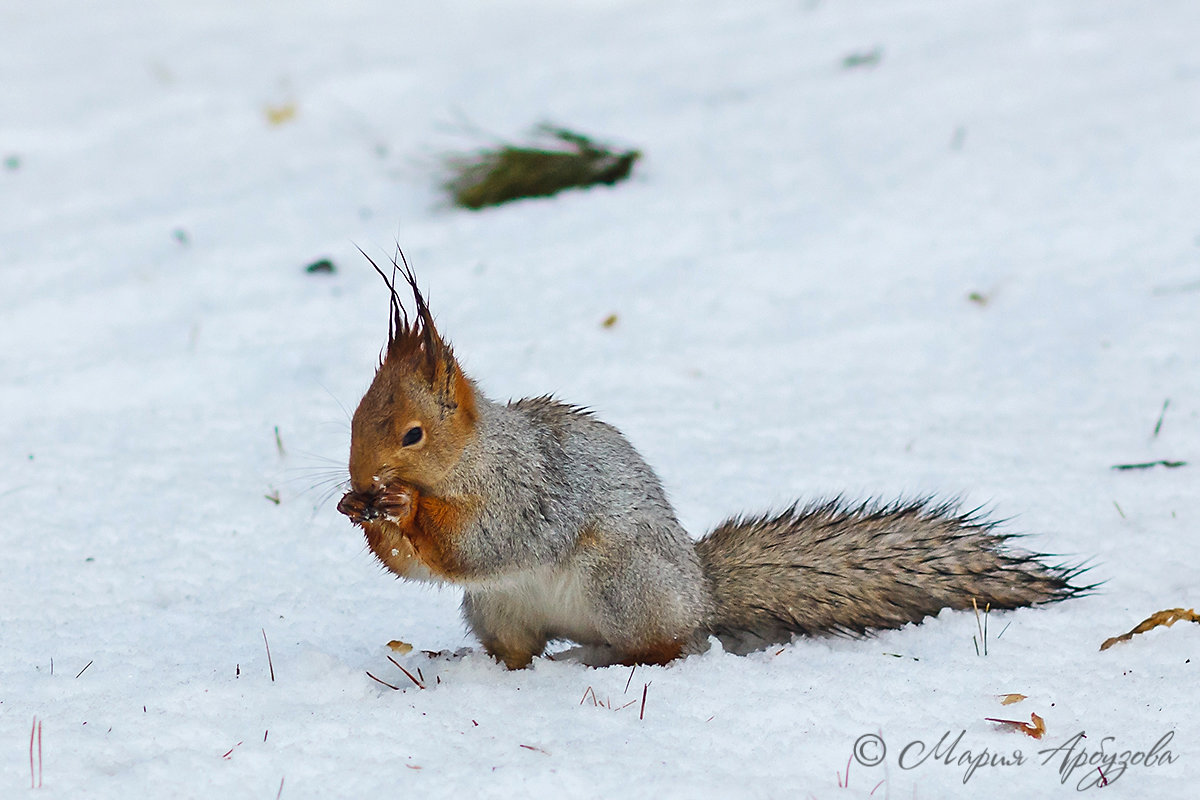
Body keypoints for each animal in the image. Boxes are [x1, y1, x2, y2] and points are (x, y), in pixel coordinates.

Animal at [336, 257, 1089, 671]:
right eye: (352, 418)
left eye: (411, 435)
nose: (361, 481)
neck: (474, 456)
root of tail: (701, 594)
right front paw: (365, 519)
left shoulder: (529, 489)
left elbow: (487, 541)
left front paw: (401, 509)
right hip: (499, 610)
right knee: (518, 650)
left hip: (625, 584)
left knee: (670, 647)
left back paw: (601, 656)